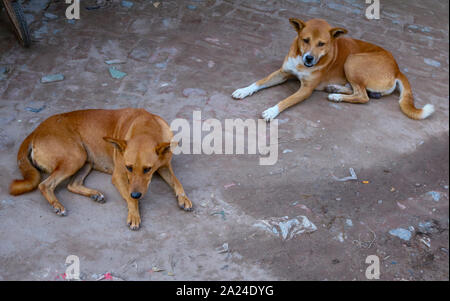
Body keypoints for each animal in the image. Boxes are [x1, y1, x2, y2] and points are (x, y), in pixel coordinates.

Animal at [8, 108, 192, 230]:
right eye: (129, 167)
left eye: (148, 169)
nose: (136, 194)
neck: (146, 127)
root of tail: (35, 131)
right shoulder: (119, 175)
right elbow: (130, 199)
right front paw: (134, 214)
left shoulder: (164, 167)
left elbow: (177, 183)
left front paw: (183, 198)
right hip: (75, 157)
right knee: (45, 184)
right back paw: (57, 205)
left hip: (85, 160)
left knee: (72, 185)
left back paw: (94, 194)